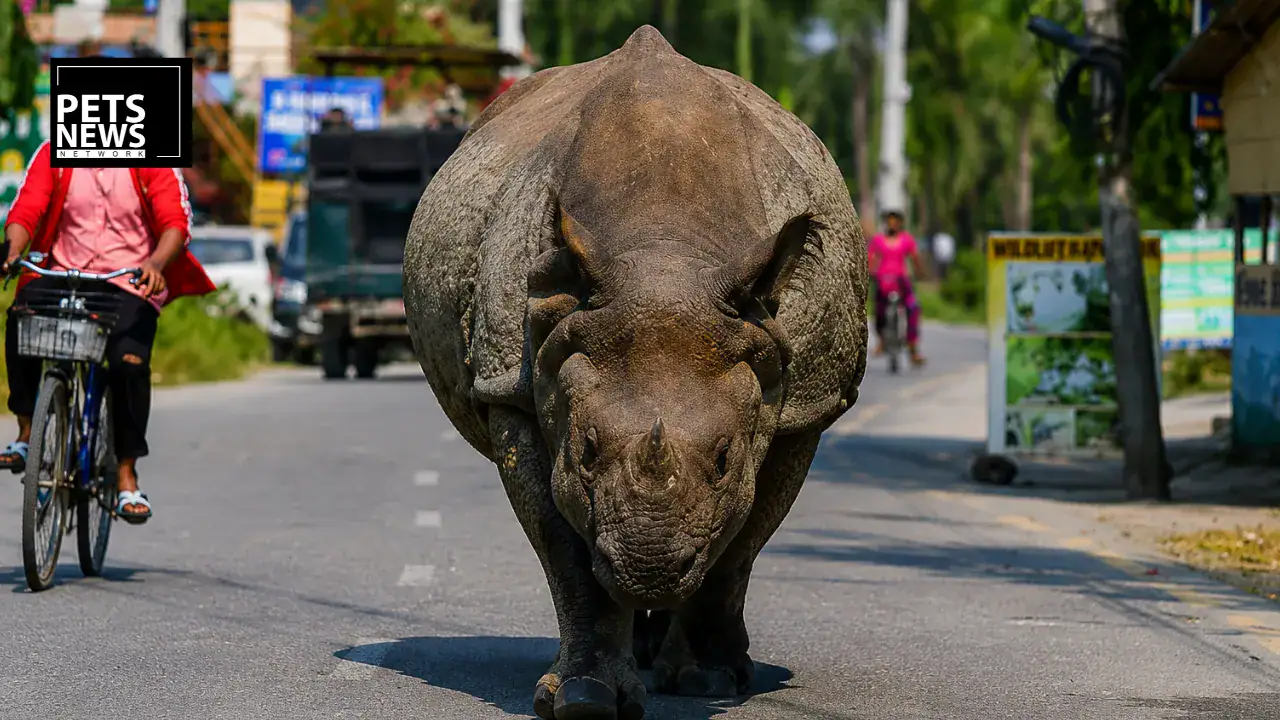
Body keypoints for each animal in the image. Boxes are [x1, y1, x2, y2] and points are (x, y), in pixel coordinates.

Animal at [404, 25, 867, 720]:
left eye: (726, 459)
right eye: (587, 451)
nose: (648, 567)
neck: (665, 262)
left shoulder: (802, 400)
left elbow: (740, 541)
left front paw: (707, 681)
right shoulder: (513, 384)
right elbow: (563, 545)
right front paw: (584, 700)